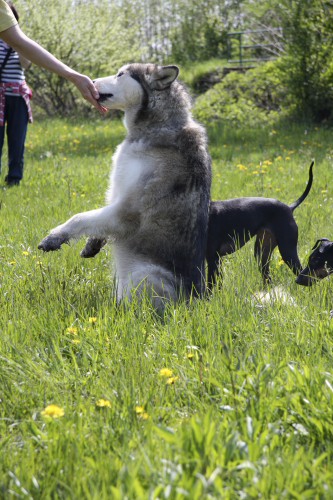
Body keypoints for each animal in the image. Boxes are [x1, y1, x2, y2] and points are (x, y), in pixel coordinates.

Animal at [37, 64, 211, 310]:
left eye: (120, 74)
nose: (91, 80)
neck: (156, 128)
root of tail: (198, 300)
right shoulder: (115, 198)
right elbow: (96, 221)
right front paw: (92, 243)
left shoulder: (127, 210)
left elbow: (80, 217)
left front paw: (54, 237)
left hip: (145, 274)